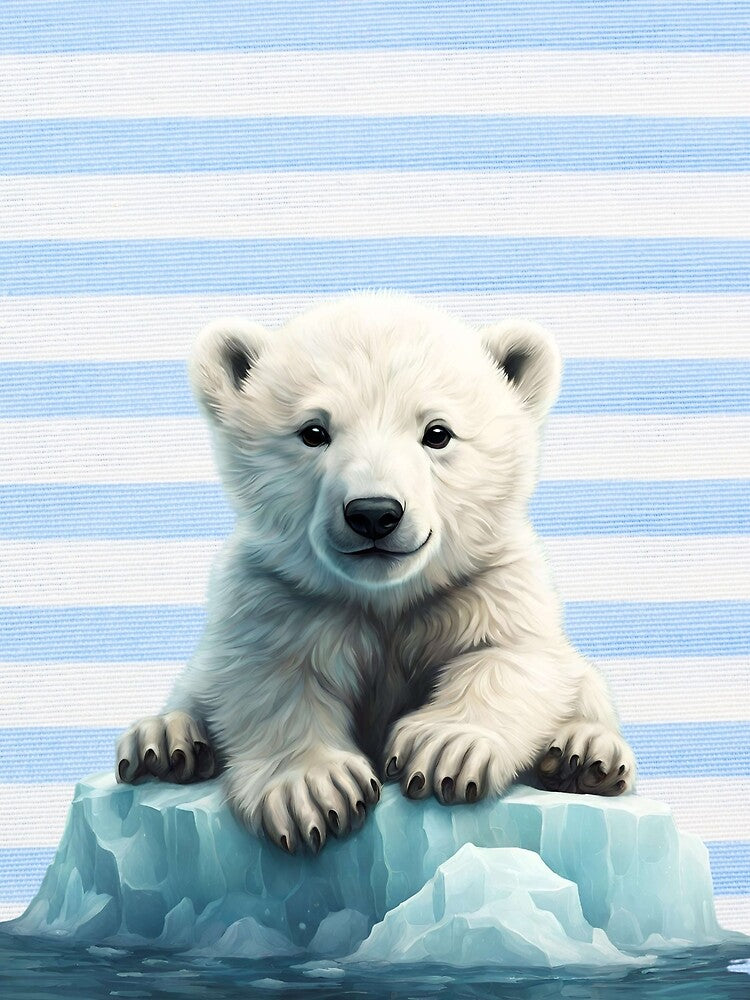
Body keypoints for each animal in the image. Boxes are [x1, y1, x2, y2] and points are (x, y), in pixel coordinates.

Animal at [116, 290, 636, 855]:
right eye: (313, 431)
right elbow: (270, 677)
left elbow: (510, 656)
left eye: (438, 433)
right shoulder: (279, 593)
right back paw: (164, 742)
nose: (374, 513)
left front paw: (445, 750)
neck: (383, 595)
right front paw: (314, 789)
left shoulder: (487, 579)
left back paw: (583, 754)